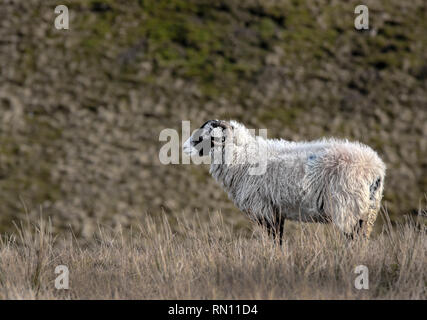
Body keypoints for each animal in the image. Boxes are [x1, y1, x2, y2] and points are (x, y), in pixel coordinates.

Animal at [184, 120, 388, 242]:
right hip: (368, 211)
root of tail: (375, 168)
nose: (184, 147)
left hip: (348, 207)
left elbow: (273, 241)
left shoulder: (264, 209)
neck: (241, 157)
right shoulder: (276, 210)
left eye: (203, 137)